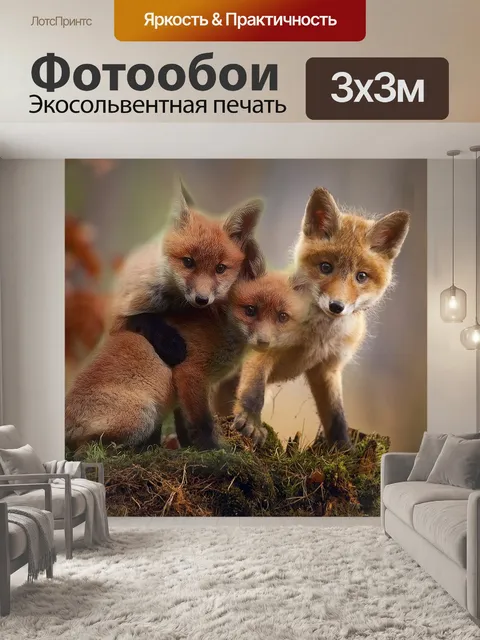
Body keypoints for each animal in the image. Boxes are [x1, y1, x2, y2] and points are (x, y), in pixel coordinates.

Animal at [65, 271, 311, 450]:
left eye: (282, 317)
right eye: (250, 310)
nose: (264, 341)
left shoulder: (186, 389)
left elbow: (185, 425)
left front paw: (189, 447)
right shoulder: (190, 373)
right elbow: (202, 423)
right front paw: (213, 450)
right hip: (143, 417)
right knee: (86, 450)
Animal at [214, 187, 410, 449]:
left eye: (361, 276)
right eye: (326, 267)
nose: (336, 306)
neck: (317, 336)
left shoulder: (328, 368)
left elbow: (336, 414)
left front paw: (343, 447)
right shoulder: (263, 346)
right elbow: (254, 392)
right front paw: (251, 422)